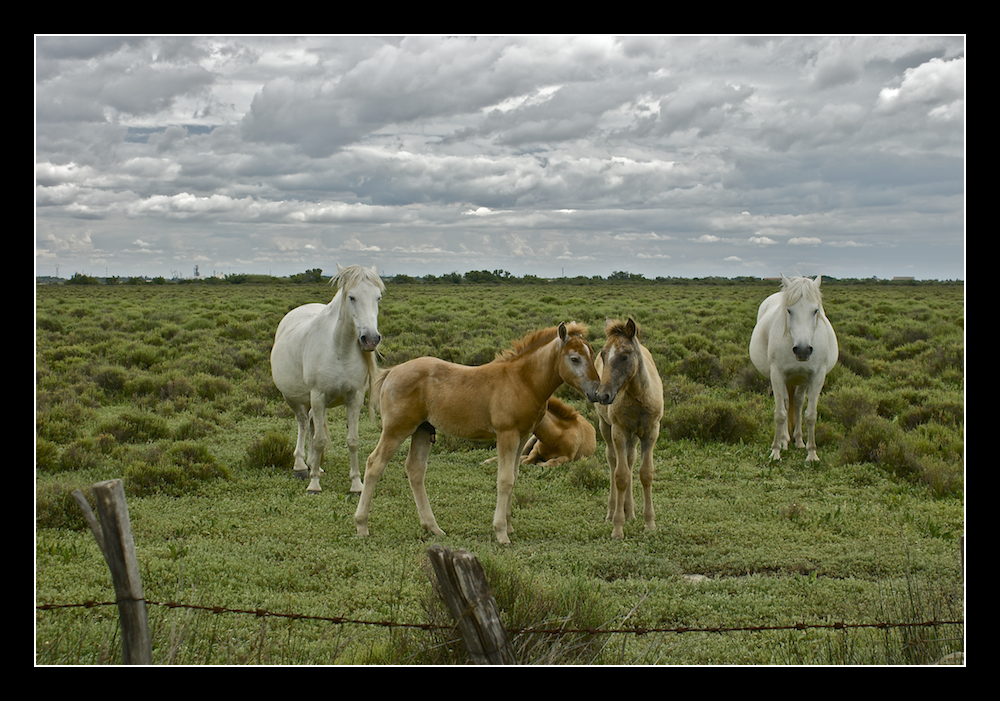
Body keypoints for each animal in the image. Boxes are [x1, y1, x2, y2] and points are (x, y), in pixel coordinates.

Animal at [272, 262, 384, 492]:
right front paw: (314, 484)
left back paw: (314, 464)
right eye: (351, 297)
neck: (340, 349)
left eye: (378, 297)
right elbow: (320, 440)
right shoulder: (318, 396)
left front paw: (356, 484)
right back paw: (301, 466)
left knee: (311, 425)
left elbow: (352, 440)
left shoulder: (355, 398)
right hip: (293, 398)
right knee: (303, 424)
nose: (370, 339)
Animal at [356, 320, 596, 544]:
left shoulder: (523, 437)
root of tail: (391, 372)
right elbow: (505, 479)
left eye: (593, 355)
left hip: (422, 430)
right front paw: (501, 532)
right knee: (374, 464)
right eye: (575, 358)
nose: (597, 392)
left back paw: (433, 528)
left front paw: (509, 526)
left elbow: (514, 476)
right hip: (397, 429)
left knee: (415, 469)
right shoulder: (507, 434)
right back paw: (362, 525)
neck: (522, 380)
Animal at [592, 320, 664, 540]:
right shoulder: (619, 431)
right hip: (606, 427)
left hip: (633, 436)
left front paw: (650, 523)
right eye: (603, 354)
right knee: (613, 461)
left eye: (625, 355)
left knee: (630, 460)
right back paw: (612, 511)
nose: (602, 395)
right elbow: (621, 476)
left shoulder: (651, 432)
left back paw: (630, 511)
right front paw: (617, 528)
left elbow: (646, 473)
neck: (638, 396)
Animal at [752, 274, 836, 460]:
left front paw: (812, 453)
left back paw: (798, 440)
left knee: (797, 403)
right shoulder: (777, 374)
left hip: (802, 380)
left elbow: (811, 415)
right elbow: (780, 414)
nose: (803, 350)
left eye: (816, 310)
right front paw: (775, 450)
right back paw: (784, 440)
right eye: (789, 310)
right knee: (785, 402)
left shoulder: (817, 376)